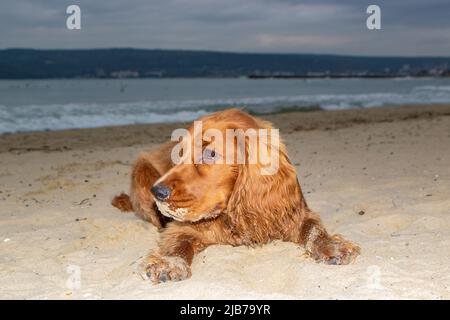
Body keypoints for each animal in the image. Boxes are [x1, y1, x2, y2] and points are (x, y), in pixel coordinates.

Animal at [111, 109, 358, 284]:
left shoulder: (294, 212)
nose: (157, 193)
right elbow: (177, 244)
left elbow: (314, 229)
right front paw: (169, 263)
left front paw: (330, 246)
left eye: (210, 153)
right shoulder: (181, 227)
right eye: (179, 154)